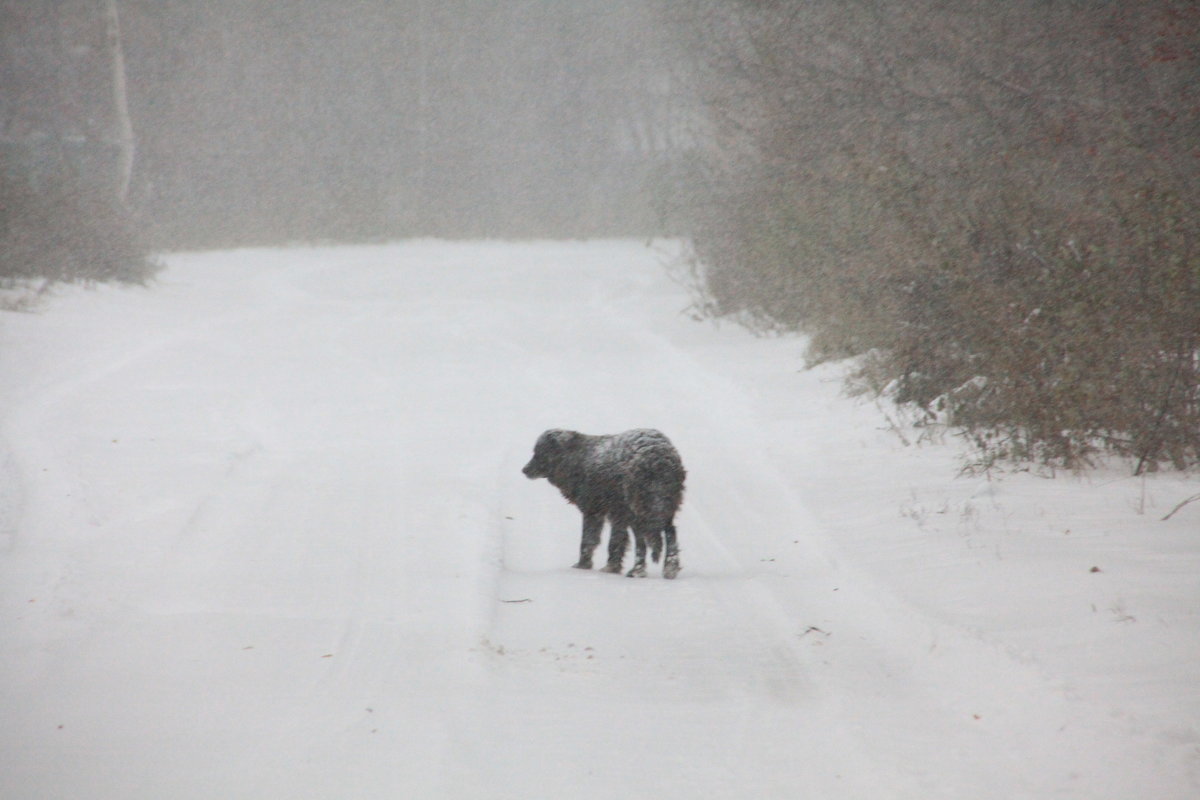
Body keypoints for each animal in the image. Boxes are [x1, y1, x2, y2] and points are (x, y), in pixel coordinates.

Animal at [523, 429, 686, 578]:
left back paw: (637, 571)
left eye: (538, 452)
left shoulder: (593, 511)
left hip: (639, 510)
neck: (576, 458)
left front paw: (583, 566)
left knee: (643, 542)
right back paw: (670, 568)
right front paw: (612, 567)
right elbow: (616, 541)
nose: (524, 470)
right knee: (670, 532)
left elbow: (588, 540)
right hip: (663, 507)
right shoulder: (618, 515)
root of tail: (657, 454)